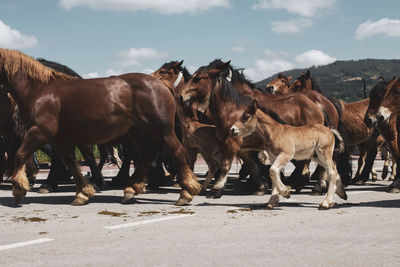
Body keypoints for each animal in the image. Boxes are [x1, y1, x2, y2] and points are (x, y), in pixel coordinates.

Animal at [0, 49, 200, 206]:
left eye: (166, 70)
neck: (41, 90)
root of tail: (163, 85)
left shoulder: (39, 132)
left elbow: (20, 154)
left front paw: (19, 188)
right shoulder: (59, 139)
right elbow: (71, 163)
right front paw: (83, 192)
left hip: (161, 131)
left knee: (177, 152)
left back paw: (186, 192)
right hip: (141, 133)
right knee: (147, 155)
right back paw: (131, 188)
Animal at [181, 59, 328, 198]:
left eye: (197, 79)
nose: (182, 96)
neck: (231, 111)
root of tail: (317, 106)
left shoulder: (232, 142)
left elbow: (226, 164)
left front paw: (216, 190)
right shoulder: (244, 148)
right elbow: (253, 165)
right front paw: (260, 187)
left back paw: (313, 186)